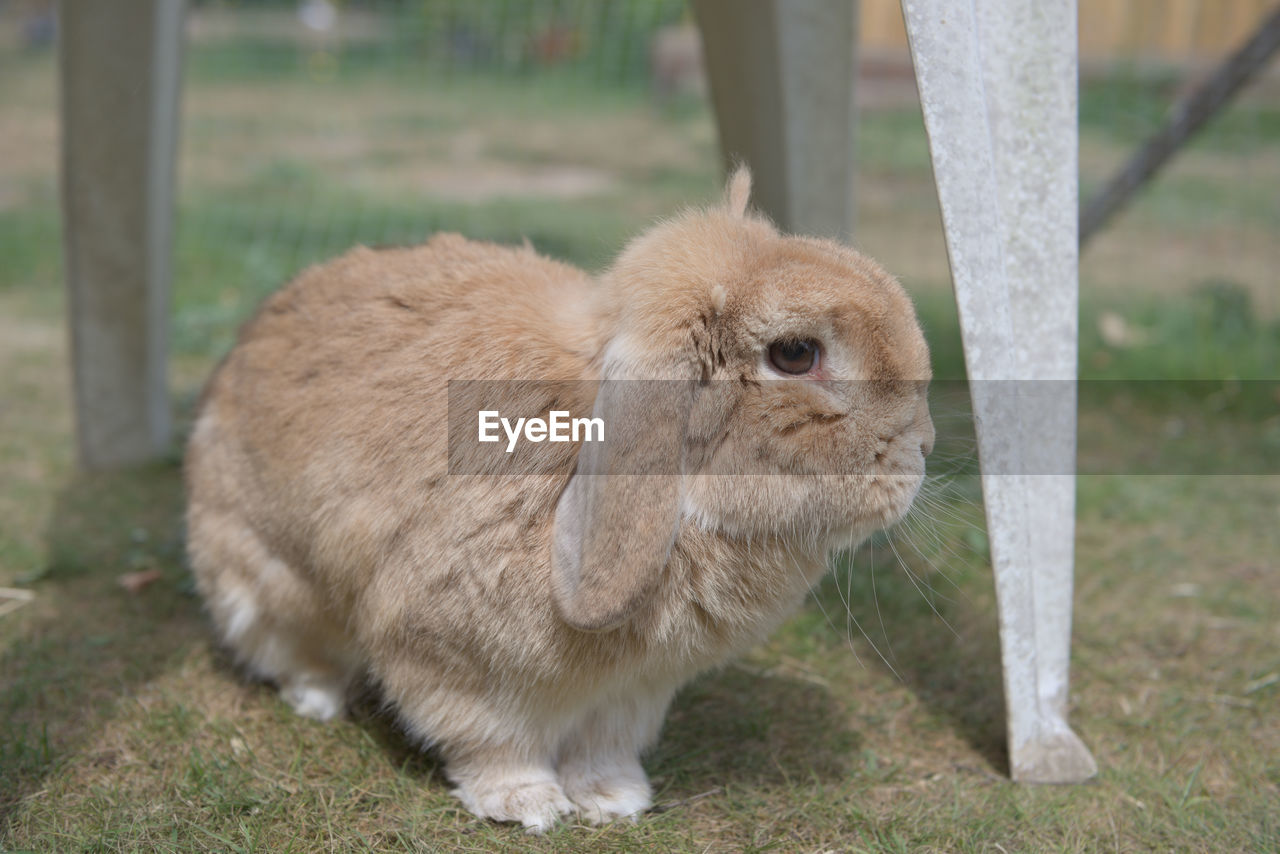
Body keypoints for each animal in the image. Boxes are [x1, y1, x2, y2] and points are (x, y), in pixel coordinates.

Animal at [185, 169, 936, 834]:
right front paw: (527, 806)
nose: (923, 448)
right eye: (796, 353)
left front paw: (613, 800)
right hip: (267, 580)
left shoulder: (632, 694)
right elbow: (493, 743)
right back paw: (317, 698)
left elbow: (603, 746)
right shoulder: (452, 660)